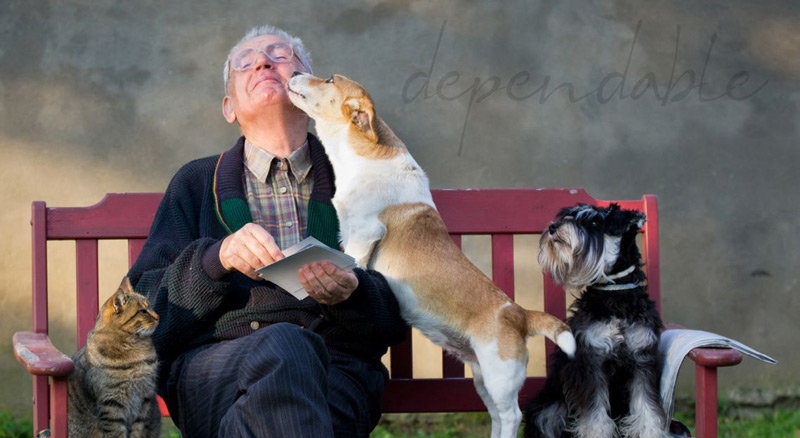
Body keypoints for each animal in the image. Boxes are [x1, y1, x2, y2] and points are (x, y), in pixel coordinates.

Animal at [69, 278, 162, 438]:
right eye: (143, 311)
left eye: (150, 307)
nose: (158, 316)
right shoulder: (111, 403)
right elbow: (116, 432)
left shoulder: (144, 399)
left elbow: (139, 430)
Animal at [288, 72, 576, 438]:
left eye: (329, 79)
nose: (293, 73)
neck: (363, 157)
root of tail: (521, 314)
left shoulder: (363, 234)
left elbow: (356, 264)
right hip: (482, 378)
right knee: (497, 417)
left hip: (500, 377)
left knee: (511, 415)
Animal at [524, 204, 668, 438]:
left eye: (593, 222)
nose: (553, 227)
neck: (616, 295)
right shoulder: (591, 362)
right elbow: (595, 417)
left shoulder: (642, 361)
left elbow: (648, 412)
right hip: (548, 409)